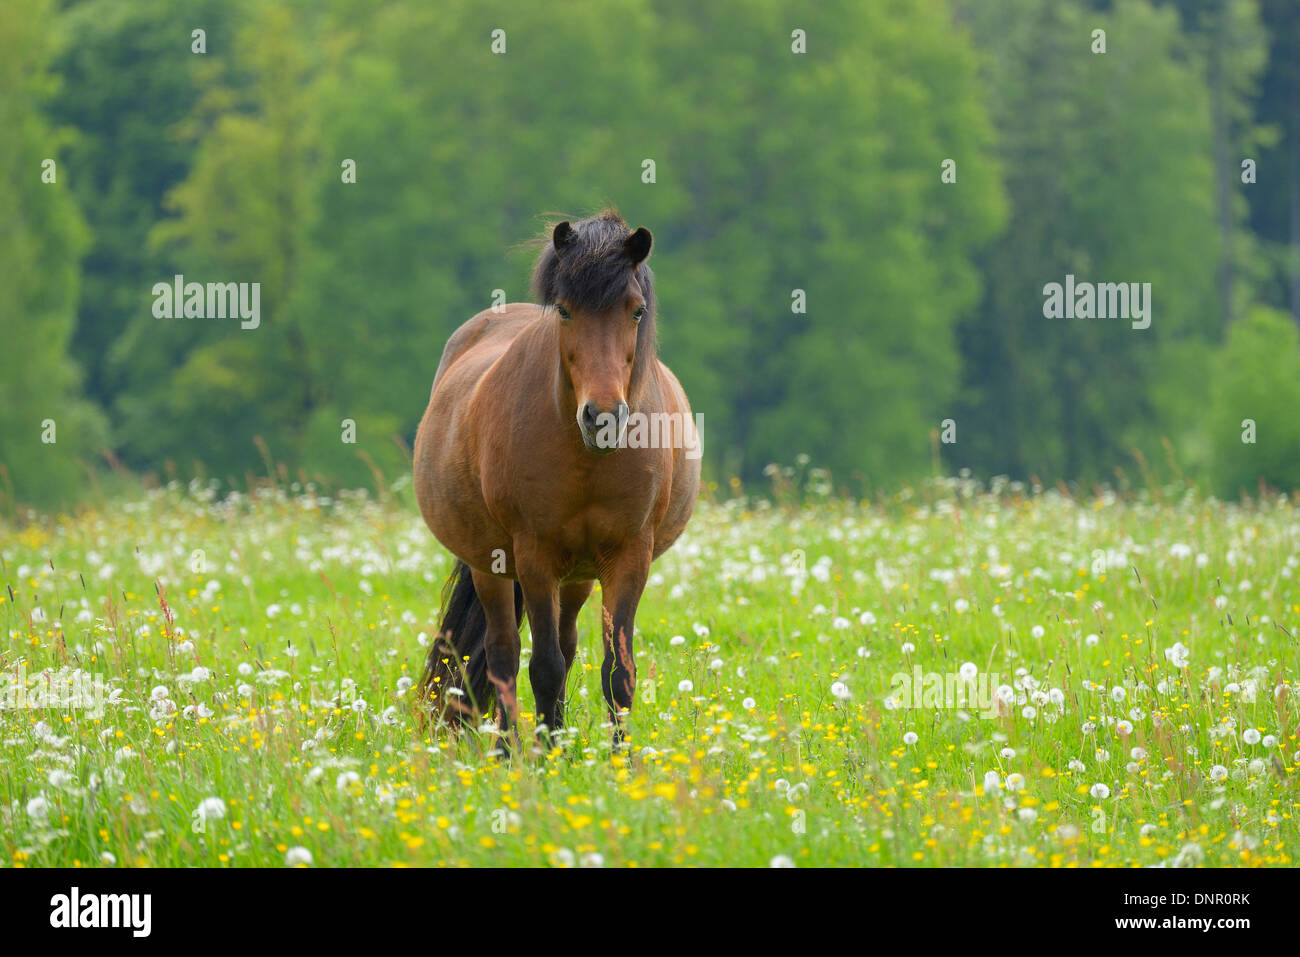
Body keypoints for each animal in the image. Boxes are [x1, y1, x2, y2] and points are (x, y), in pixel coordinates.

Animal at [413, 209, 700, 752]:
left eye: (636, 312)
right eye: (565, 312)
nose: (603, 417)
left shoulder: (629, 557)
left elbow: (617, 672)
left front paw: (618, 760)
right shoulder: (534, 556)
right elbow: (541, 667)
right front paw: (542, 760)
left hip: (580, 574)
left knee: (565, 647)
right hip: (492, 565)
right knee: (504, 653)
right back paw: (509, 751)